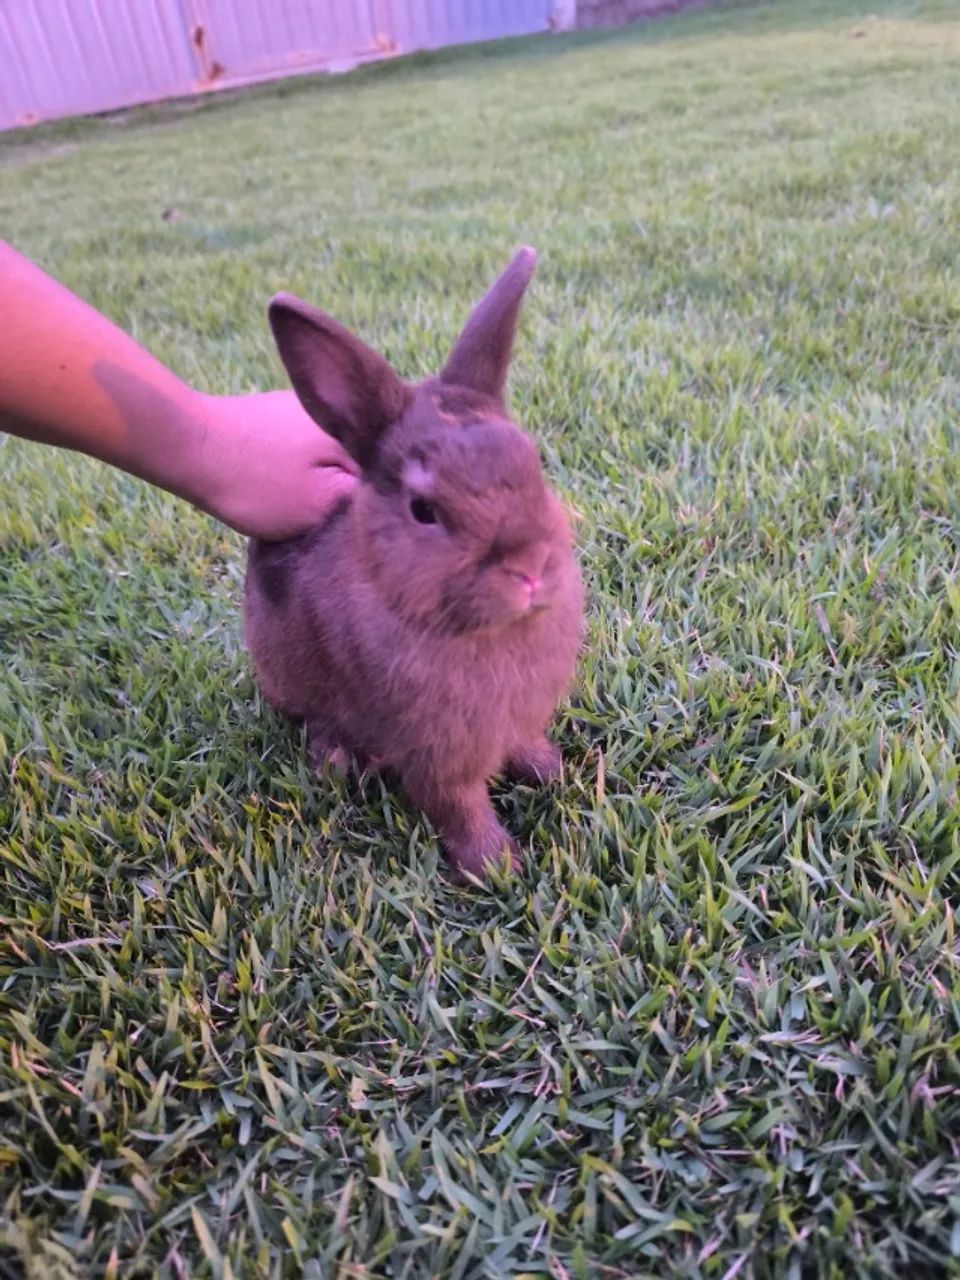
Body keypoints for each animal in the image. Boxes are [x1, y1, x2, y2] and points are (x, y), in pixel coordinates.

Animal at [244, 247, 583, 881]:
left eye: (533, 464)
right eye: (424, 510)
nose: (529, 569)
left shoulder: (517, 723)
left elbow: (524, 747)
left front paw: (553, 773)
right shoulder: (436, 756)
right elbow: (458, 806)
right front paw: (494, 867)